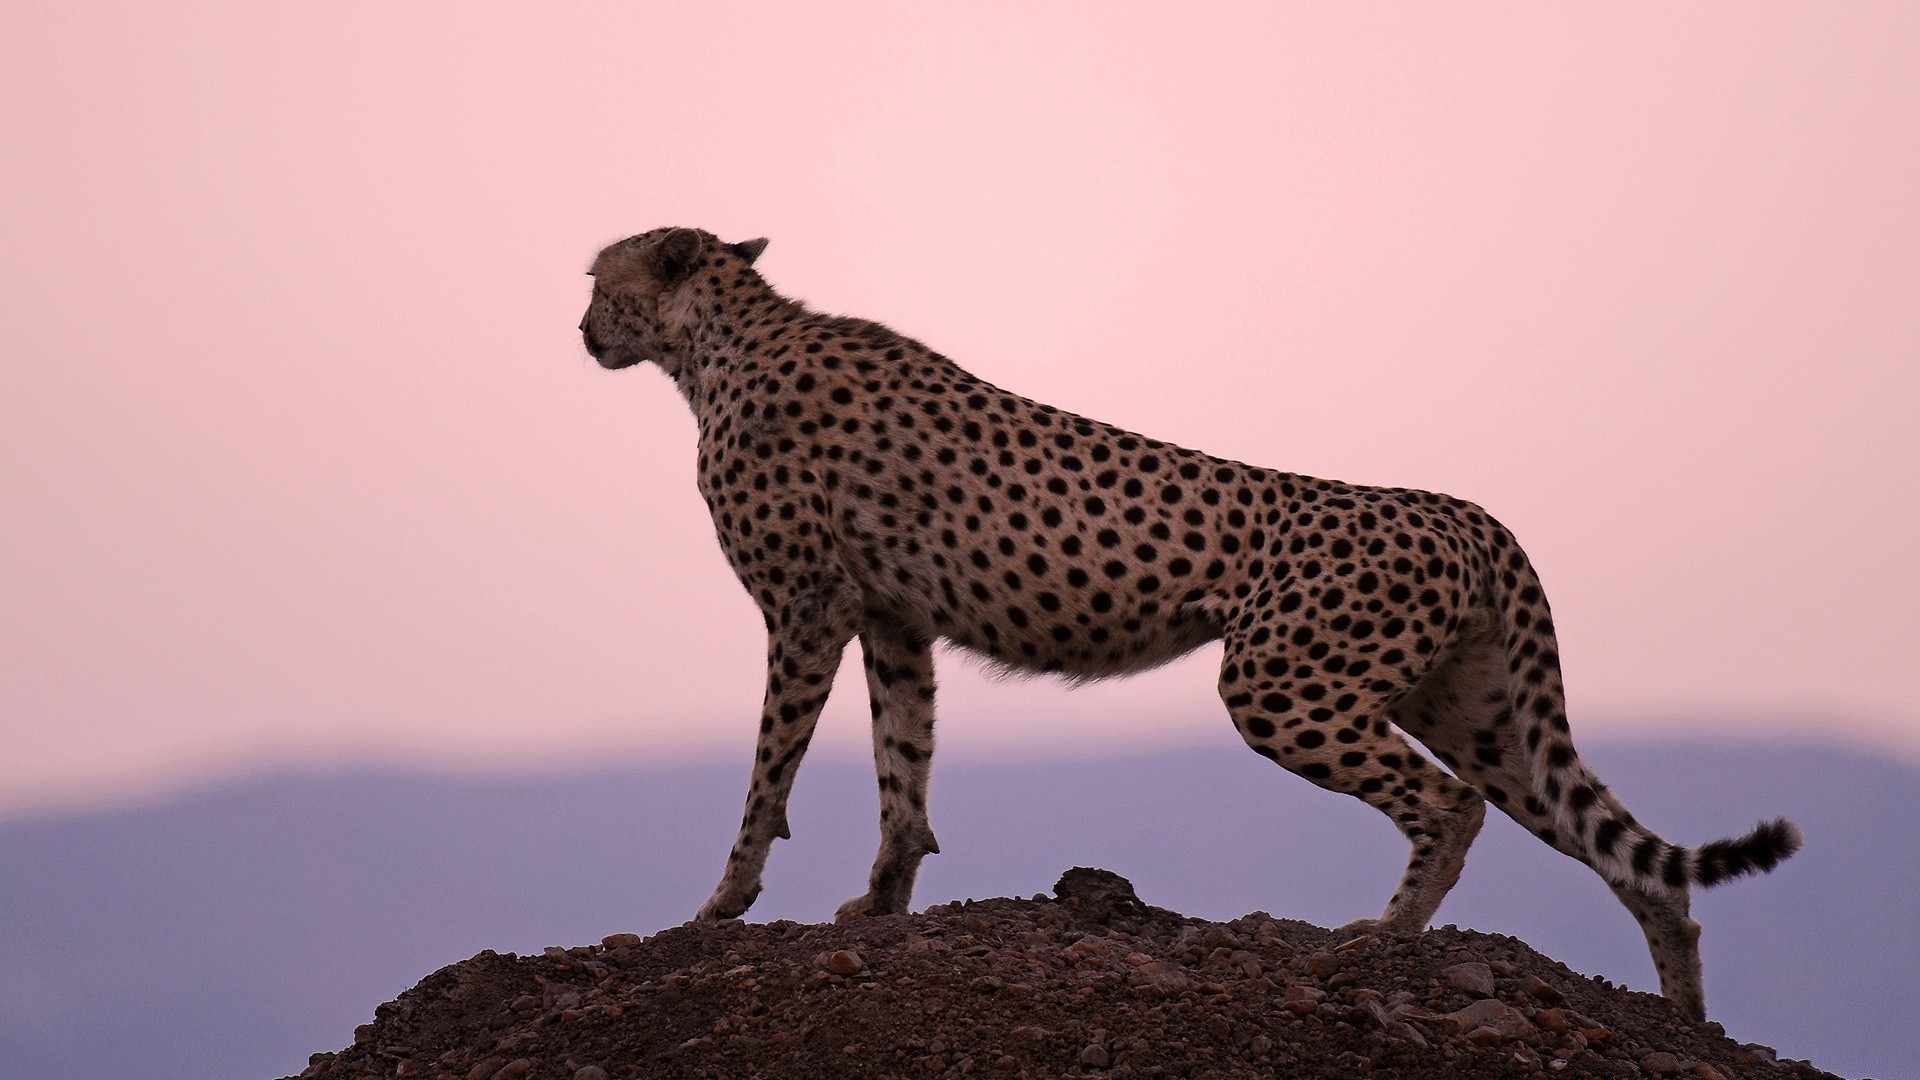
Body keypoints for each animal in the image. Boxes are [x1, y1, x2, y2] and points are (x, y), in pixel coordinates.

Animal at [579, 226, 1797, 1014]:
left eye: (597, 277)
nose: (581, 327)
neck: (718, 340)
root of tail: (1462, 507)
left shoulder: (807, 609)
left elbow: (769, 774)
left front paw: (722, 904)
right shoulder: (894, 621)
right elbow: (903, 769)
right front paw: (882, 903)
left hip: (1282, 683)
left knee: (1448, 806)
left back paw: (1384, 942)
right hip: (1475, 710)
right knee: (1631, 858)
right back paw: (1685, 1014)